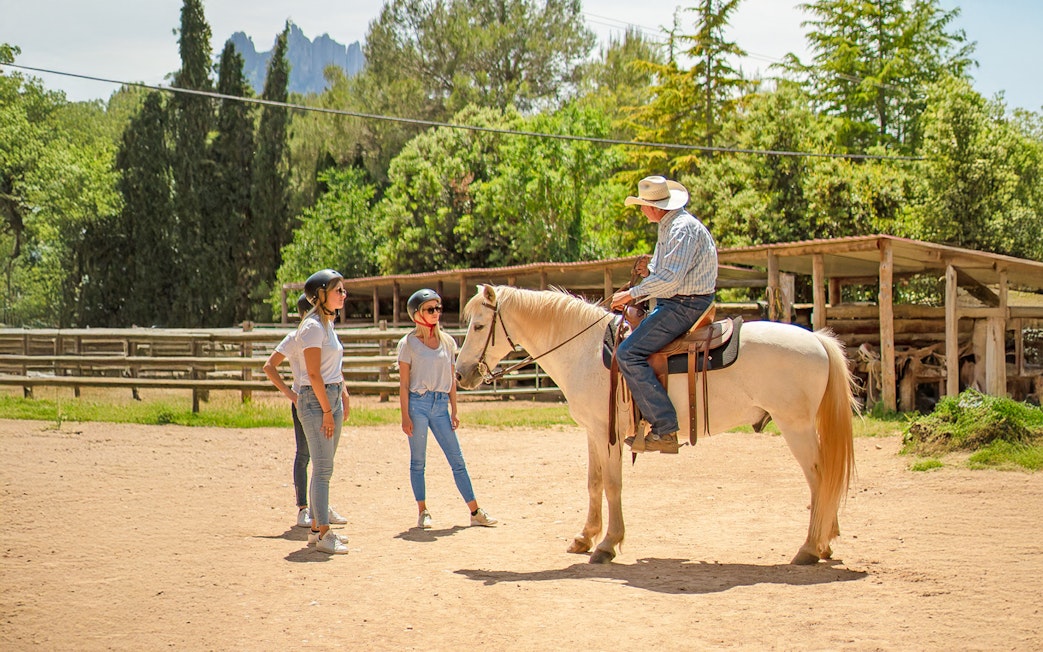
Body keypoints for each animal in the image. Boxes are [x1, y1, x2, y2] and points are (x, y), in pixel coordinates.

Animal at [456, 285, 857, 565]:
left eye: (479, 325)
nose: (460, 374)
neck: (585, 349)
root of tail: (816, 339)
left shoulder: (608, 433)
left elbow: (613, 485)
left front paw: (607, 544)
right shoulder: (592, 432)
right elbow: (594, 483)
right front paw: (584, 538)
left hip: (796, 427)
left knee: (821, 479)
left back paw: (810, 547)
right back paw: (826, 540)